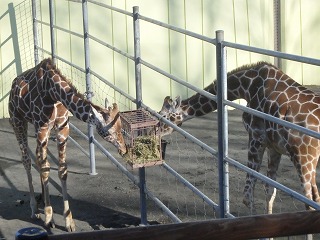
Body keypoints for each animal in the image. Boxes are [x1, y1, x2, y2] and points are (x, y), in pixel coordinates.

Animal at [8, 57, 127, 231]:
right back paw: (35, 210)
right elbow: (46, 168)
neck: (52, 92)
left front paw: (69, 221)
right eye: (110, 131)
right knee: (27, 160)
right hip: (17, 120)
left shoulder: (63, 127)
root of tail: (12, 87)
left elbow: (62, 170)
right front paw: (49, 218)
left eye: (121, 128)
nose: (124, 149)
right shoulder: (42, 127)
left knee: (38, 158)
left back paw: (42, 200)